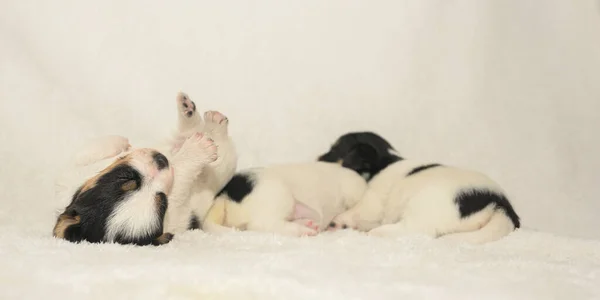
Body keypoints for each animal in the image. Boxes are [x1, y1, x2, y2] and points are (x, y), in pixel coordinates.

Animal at [52, 92, 237, 246]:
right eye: (161, 202)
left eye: (127, 180)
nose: (162, 159)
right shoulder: (175, 204)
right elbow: (180, 172)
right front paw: (195, 151)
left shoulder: (71, 175)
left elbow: (86, 153)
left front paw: (121, 143)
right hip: (218, 170)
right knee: (222, 151)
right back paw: (209, 127)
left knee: (189, 133)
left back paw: (190, 111)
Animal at [318, 132, 520, 245]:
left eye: (333, 151)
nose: (317, 158)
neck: (383, 163)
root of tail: (500, 204)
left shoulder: (372, 200)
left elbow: (354, 212)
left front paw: (337, 221)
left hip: (422, 210)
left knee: (409, 230)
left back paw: (376, 232)